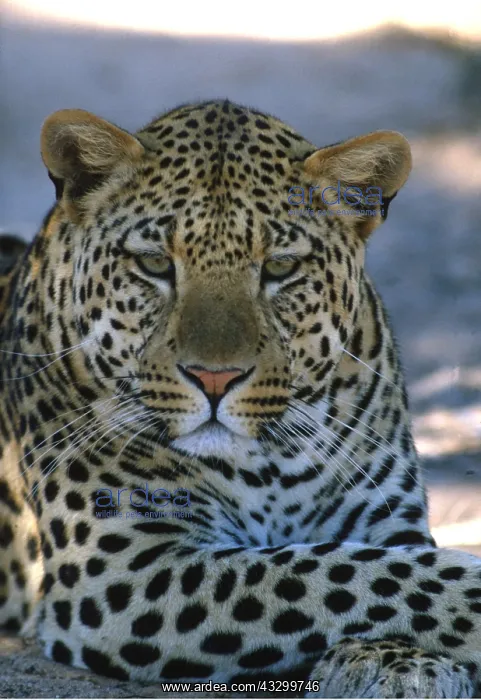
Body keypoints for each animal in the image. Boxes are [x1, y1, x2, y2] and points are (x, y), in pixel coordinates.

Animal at [1, 99, 481, 698]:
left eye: (280, 267)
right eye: (155, 264)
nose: (213, 379)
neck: (272, 460)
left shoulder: (389, 521)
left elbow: (388, 566)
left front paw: (396, 663)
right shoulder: (121, 569)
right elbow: (335, 572)